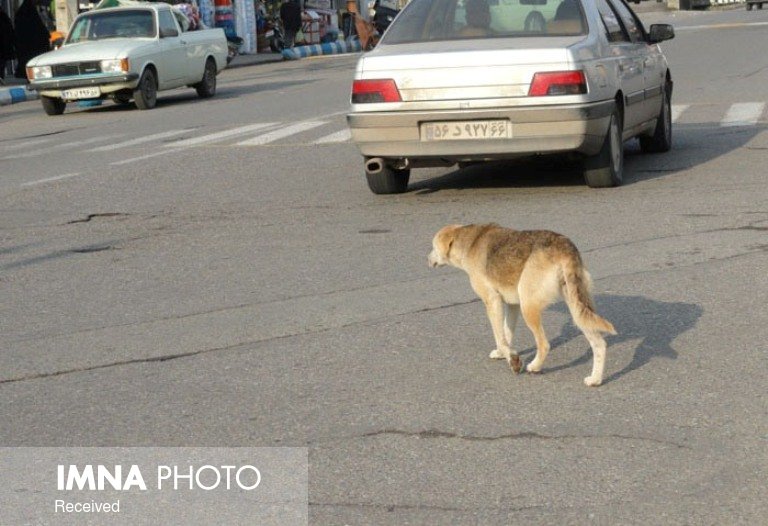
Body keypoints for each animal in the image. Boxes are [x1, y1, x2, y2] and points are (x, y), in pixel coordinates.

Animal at [426, 224, 616, 388]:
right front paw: (504, 355)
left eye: (433, 246)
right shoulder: (512, 305)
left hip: (529, 307)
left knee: (544, 344)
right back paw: (595, 379)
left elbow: (500, 337)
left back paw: (535, 366)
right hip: (577, 310)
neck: (471, 242)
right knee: (599, 345)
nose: (427, 260)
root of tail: (564, 246)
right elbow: (506, 334)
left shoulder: (493, 302)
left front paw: (513, 361)